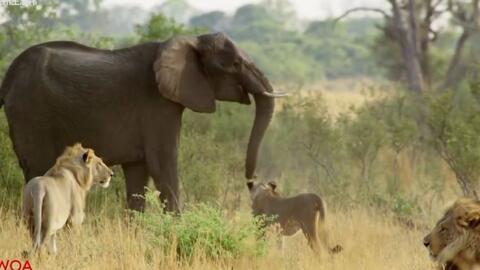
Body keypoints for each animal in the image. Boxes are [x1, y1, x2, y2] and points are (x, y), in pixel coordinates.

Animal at [0, 32, 284, 212]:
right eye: (234, 64)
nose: (254, 181)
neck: (191, 41)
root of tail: (8, 77)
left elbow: (139, 173)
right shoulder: (157, 105)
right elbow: (163, 167)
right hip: (31, 113)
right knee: (38, 169)